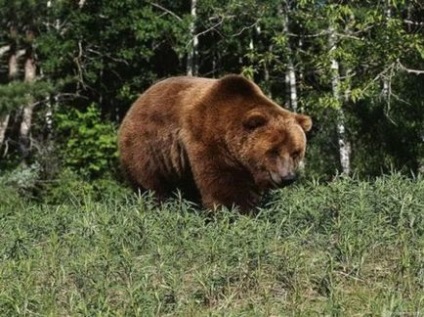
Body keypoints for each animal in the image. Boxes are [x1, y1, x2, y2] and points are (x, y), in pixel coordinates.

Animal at [118, 74, 312, 211]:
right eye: (273, 151)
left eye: (295, 152)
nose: (288, 177)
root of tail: (136, 103)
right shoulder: (206, 140)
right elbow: (224, 185)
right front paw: (237, 212)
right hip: (148, 147)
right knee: (151, 183)